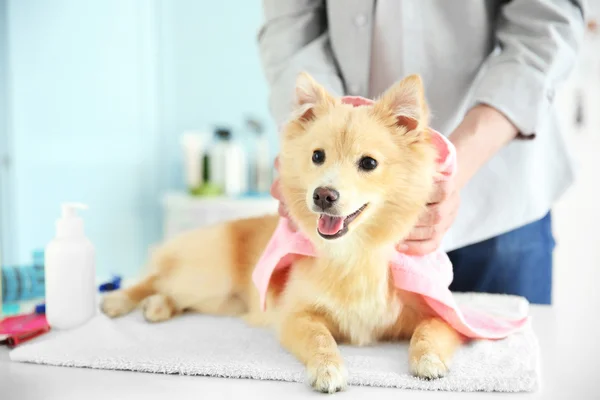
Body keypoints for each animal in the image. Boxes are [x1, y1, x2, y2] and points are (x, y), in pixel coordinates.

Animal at [101, 72, 462, 394]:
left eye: (369, 163)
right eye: (317, 156)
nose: (323, 195)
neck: (355, 254)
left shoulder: (443, 315)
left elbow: (429, 331)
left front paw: (428, 359)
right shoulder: (296, 315)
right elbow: (320, 338)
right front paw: (327, 368)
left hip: (219, 300)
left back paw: (156, 307)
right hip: (209, 278)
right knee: (157, 279)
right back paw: (121, 299)